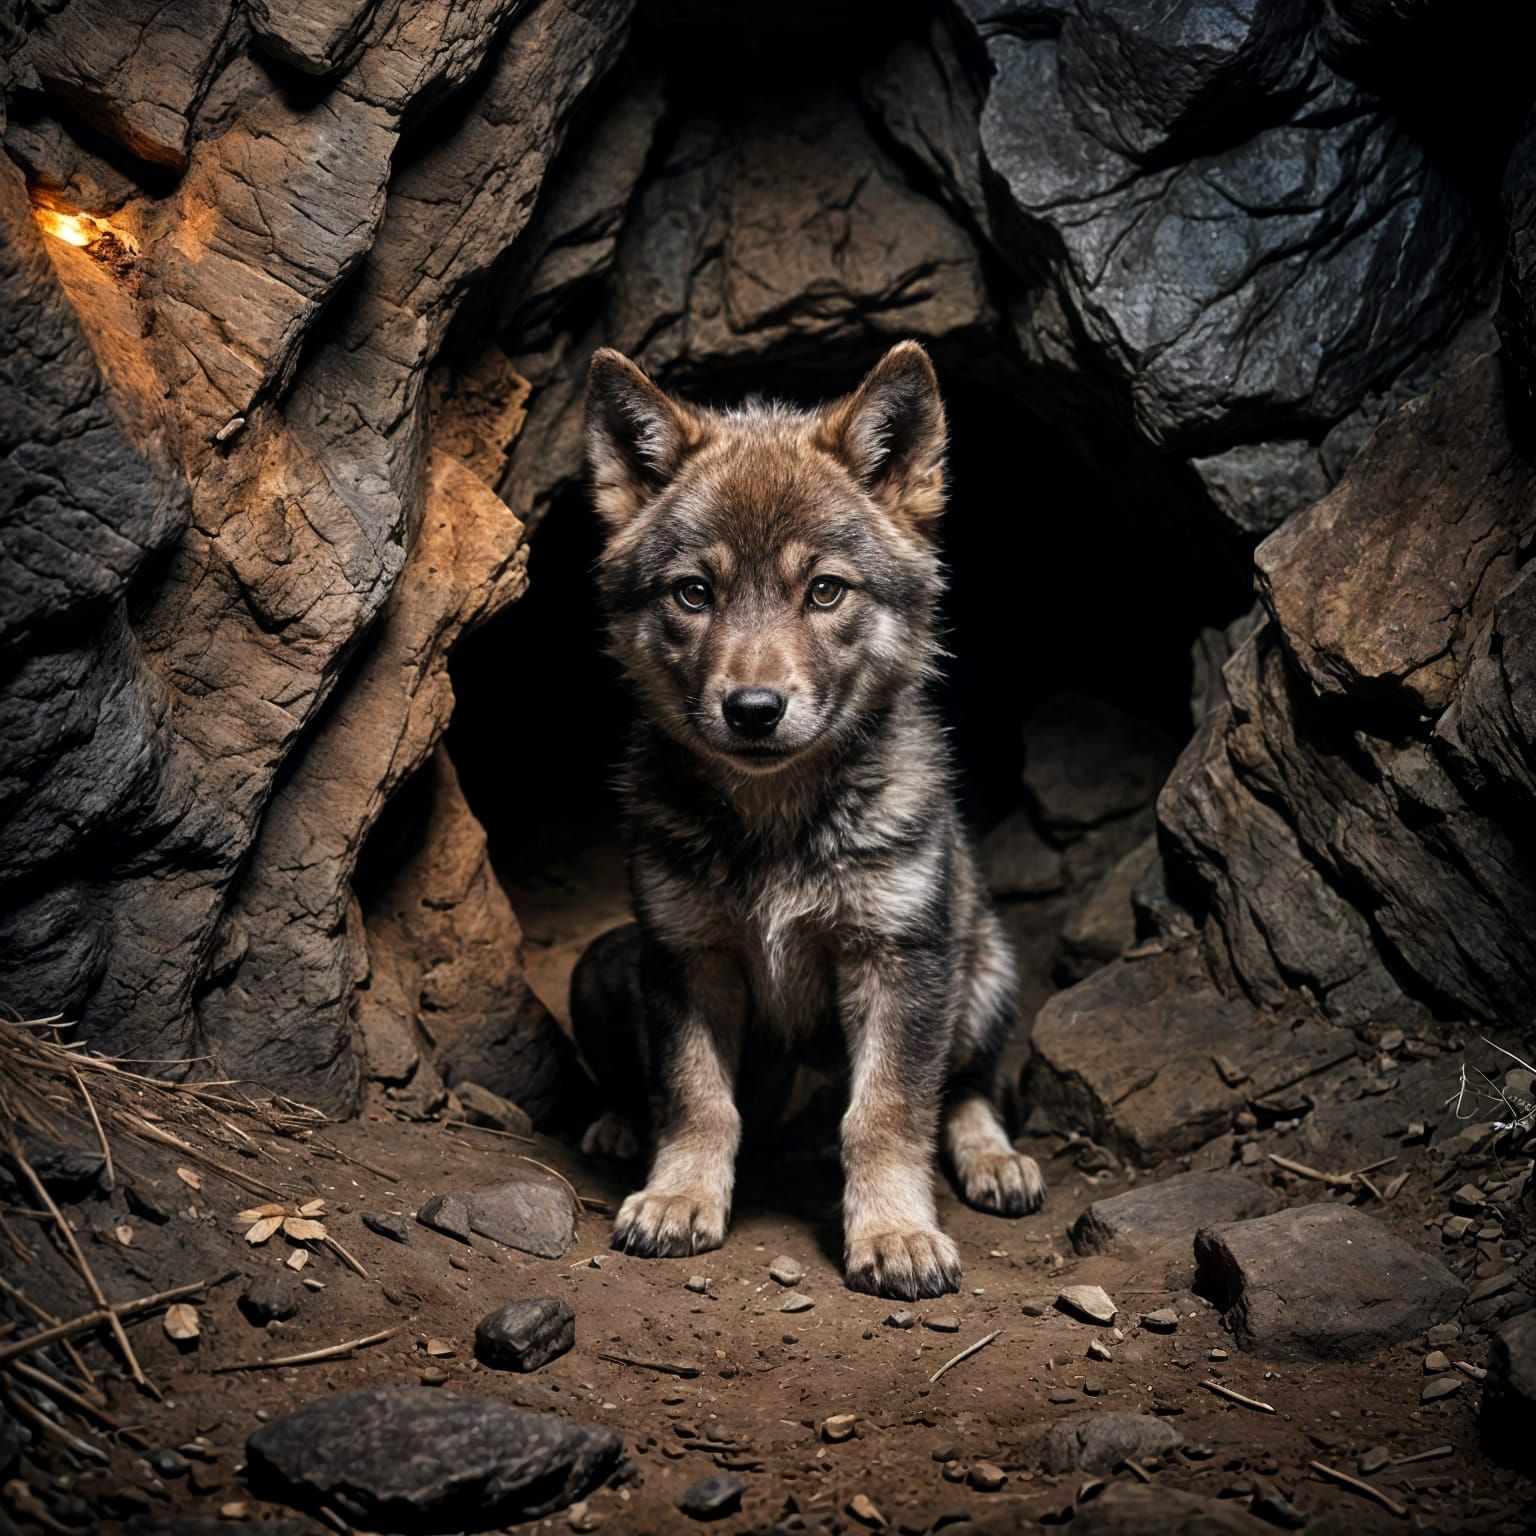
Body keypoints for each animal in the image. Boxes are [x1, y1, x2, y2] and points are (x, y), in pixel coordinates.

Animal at [570, 341, 1044, 1301]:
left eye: (825, 592)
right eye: (694, 594)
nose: (753, 709)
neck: (775, 827)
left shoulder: (900, 961)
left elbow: (888, 1113)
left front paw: (896, 1233)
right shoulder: (687, 957)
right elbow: (696, 1099)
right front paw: (678, 1198)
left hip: (981, 968)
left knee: (969, 1088)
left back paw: (994, 1161)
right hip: (600, 968)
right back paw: (618, 1126)